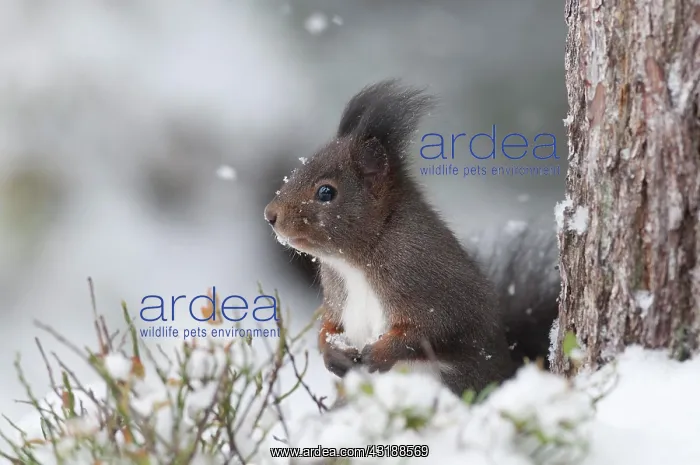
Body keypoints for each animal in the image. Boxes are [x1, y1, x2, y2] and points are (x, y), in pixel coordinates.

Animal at [263, 79, 559, 396]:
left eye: (326, 192)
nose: (270, 215)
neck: (357, 263)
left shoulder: (429, 282)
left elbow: (434, 329)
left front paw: (379, 352)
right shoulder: (336, 294)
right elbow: (329, 323)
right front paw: (330, 350)